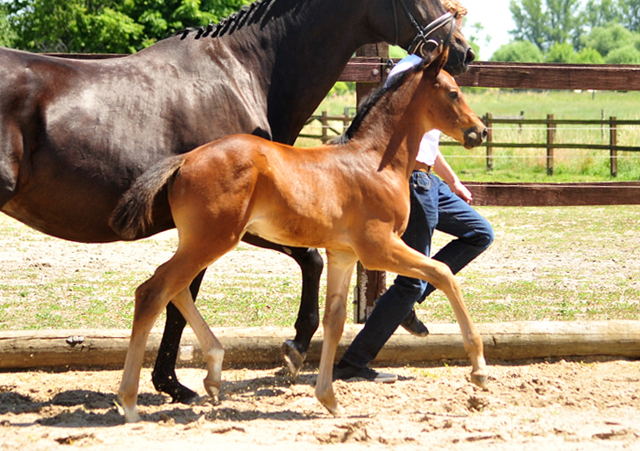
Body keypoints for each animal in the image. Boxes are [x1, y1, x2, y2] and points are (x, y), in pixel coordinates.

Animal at [111, 44, 490, 422]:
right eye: (453, 92)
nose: (480, 131)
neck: (374, 162)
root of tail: (184, 160)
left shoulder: (344, 254)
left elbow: (335, 321)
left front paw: (329, 398)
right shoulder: (378, 248)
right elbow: (443, 273)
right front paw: (479, 371)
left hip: (200, 241)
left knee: (175, 290)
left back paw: (214, 372)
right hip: (213, 240)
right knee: (153, 291)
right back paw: (129, 402)